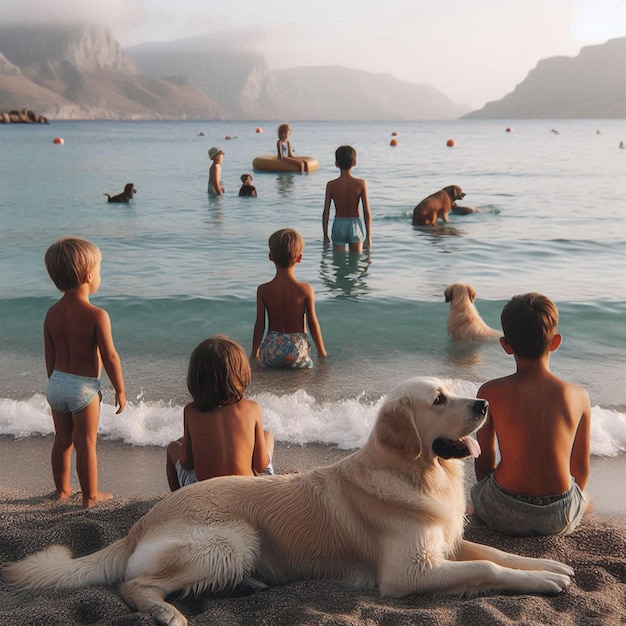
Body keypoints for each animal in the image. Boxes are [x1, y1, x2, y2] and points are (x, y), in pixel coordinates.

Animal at [2, 376, 572, 624]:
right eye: (438, 400)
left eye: (453, 390)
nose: (483, 402)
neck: (415, 472)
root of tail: (141, 523)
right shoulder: (407, 572)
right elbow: (489, 570)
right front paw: (541, 582)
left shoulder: (446, 543)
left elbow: (498, 554)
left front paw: (550, 569)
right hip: (232, 539)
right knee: (133, 584)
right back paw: (165, 611)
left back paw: (246, 586)